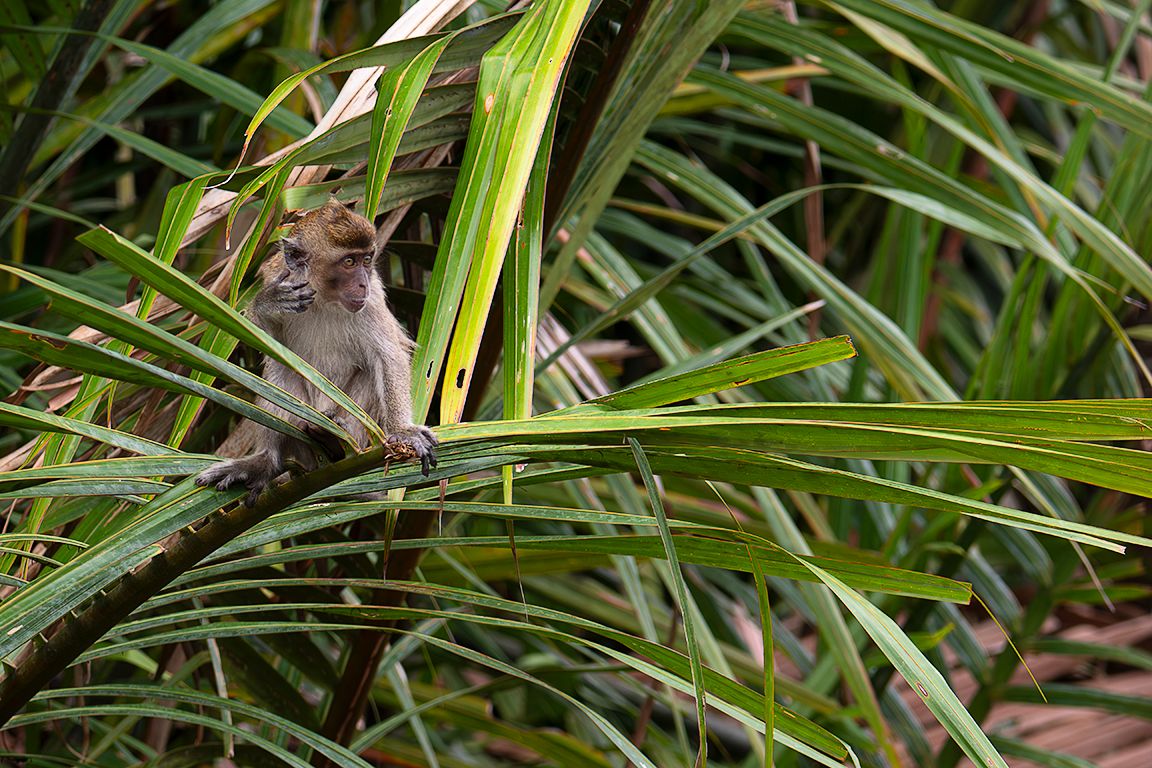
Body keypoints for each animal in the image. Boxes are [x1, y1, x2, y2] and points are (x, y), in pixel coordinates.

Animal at [196, 199, 437, 502]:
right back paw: (267, 461)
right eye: (349, 262)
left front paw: (403, 432)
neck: (324, 298)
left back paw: (333, 441)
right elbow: (265, 345)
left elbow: (388, 357)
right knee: (281, 372)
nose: (362, 282)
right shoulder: (279, 276)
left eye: (366, 260)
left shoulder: (372, 299)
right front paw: (267, 303)